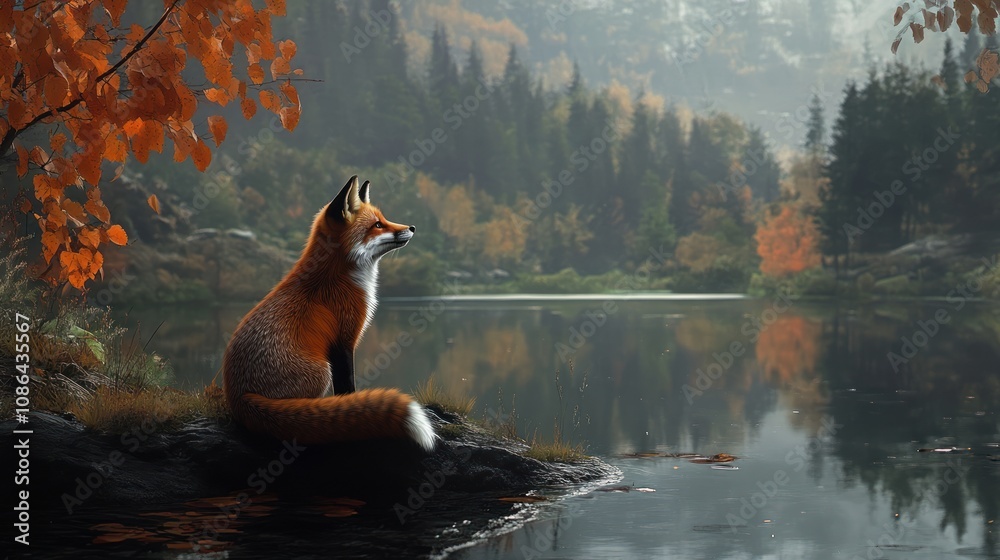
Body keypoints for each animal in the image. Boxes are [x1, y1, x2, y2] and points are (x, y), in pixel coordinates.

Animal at [222, 175, 435, 451]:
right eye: (377, 225)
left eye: (384, 218)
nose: (412, 227)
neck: (337, 278)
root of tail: (240, 397)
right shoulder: (343, 341)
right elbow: (347, 387)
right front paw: (352, 407)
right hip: (322, 371)